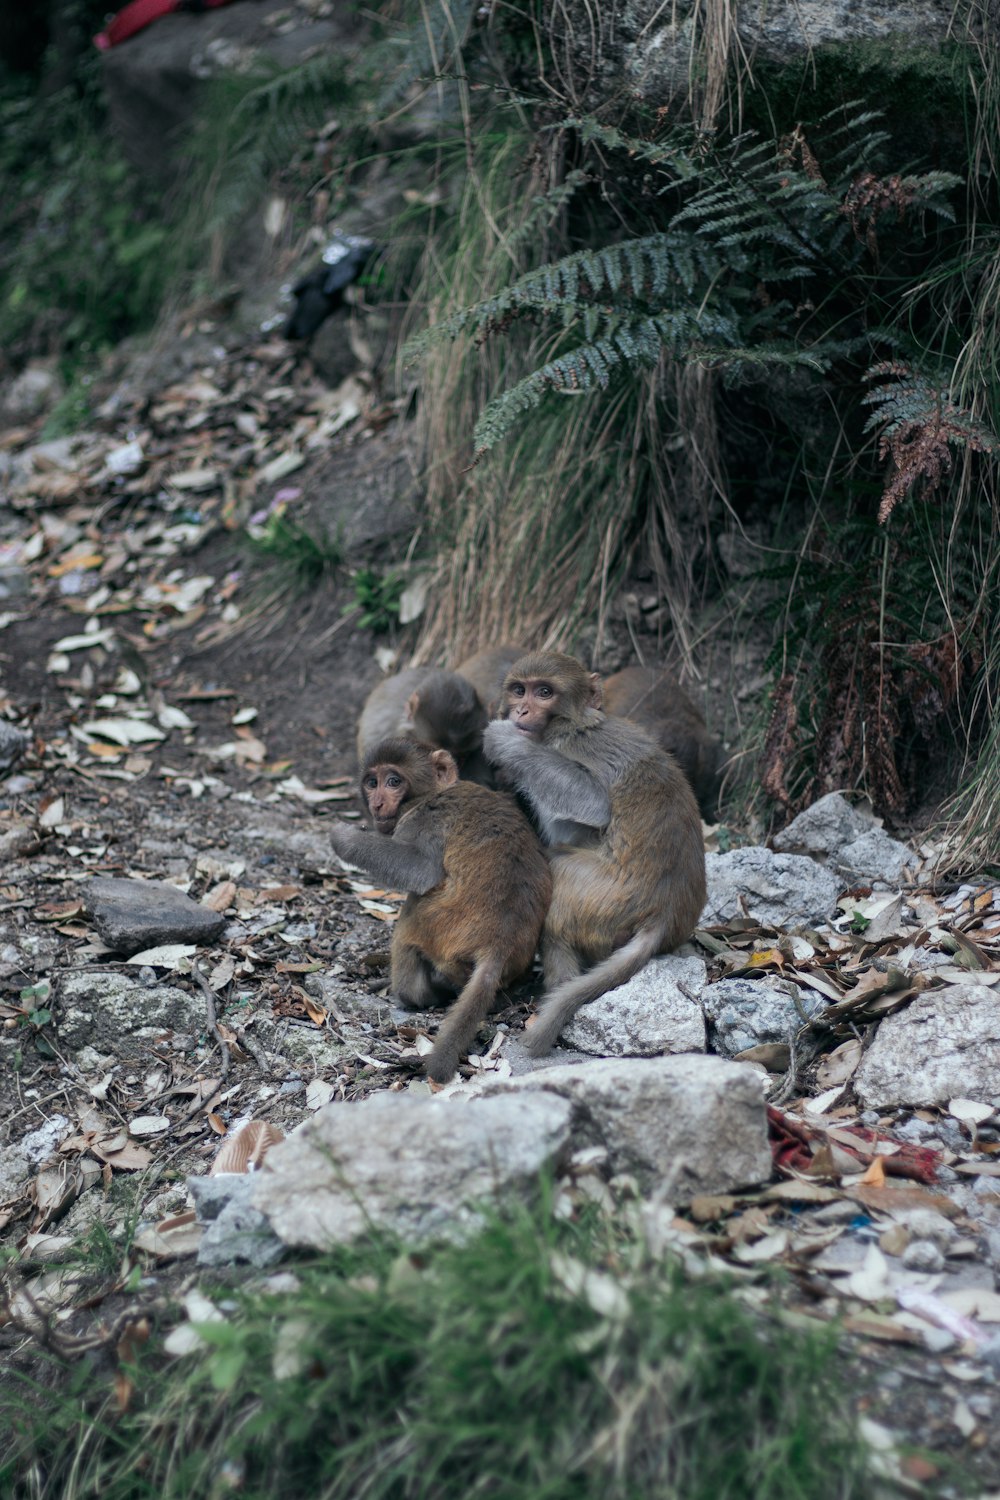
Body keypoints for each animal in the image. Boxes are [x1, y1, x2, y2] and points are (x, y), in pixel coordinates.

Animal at [328, 735, 551, 1080]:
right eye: (372, 782)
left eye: (393, 782)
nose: (376, 803)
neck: (434, 792)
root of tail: (499, 944)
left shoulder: (424, 820)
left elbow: (420, 869)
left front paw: (344, 838)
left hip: (434, 926)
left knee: (412, 910)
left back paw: (415, 994)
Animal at [482, 654, 704, 1056]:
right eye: (519, 689)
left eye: (544, 692)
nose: (521, 710)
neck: (573, 723)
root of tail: (664, 913)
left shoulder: (569, 746)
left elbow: (594, 803)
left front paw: (504, 740)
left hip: (604, 900)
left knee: (557, 873)